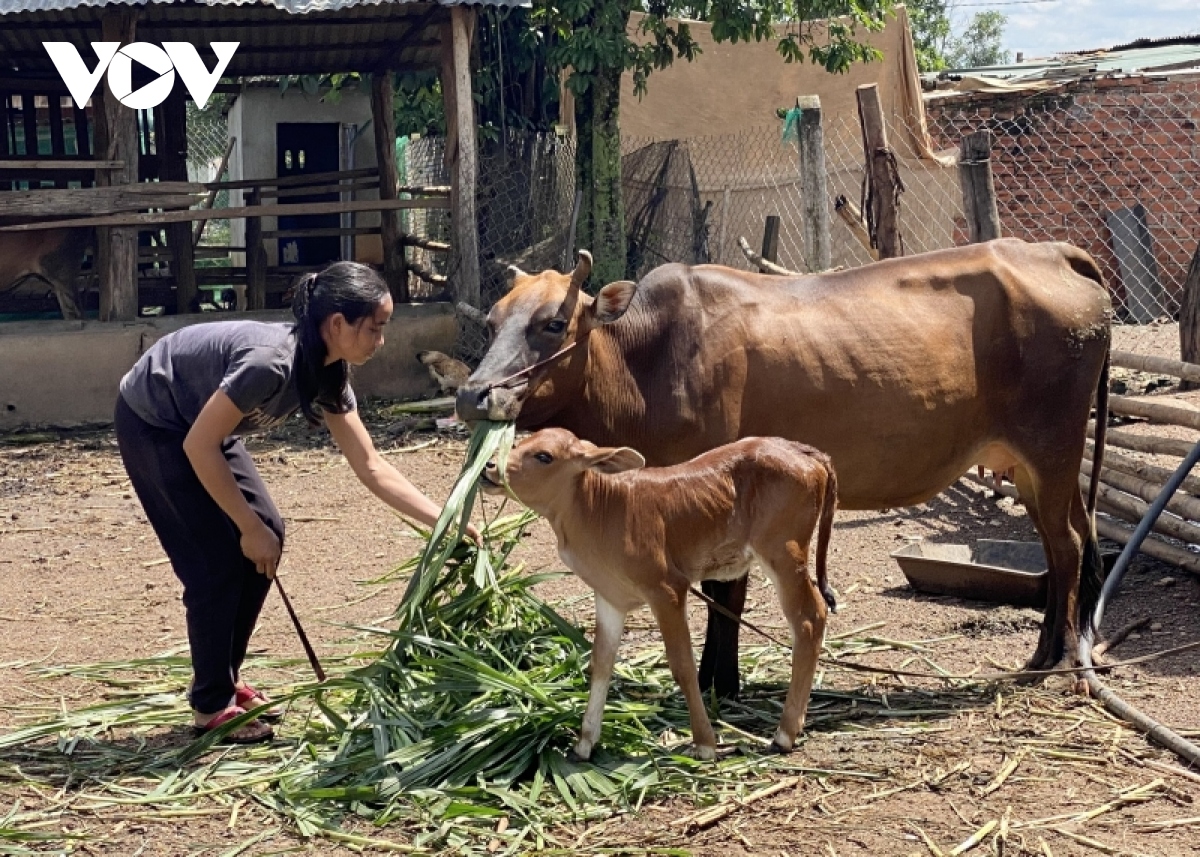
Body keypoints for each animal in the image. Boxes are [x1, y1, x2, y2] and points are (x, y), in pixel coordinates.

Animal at [458, 236, 1113, 691]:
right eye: (491, 323)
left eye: (553, 323)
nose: (473, 395)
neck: (649, 361)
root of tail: (1050, 250)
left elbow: (726, 592)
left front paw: (719, 684)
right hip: (1031, 466)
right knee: (1067, 541)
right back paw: (1047, 653)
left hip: (1052, 449)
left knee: (1067, 547)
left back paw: (1059, 662)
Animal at [482, 424, 840, 753]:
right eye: (521, 442)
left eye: (544, 456)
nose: (488, 467)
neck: (601, 510)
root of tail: (805, 451)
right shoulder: (610, 597)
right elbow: (601, 663)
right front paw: (584, 743)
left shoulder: (667, 589)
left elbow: (682, 666)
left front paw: (705, 743)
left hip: (784, 553)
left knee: (810, 619)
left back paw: (784, 734)